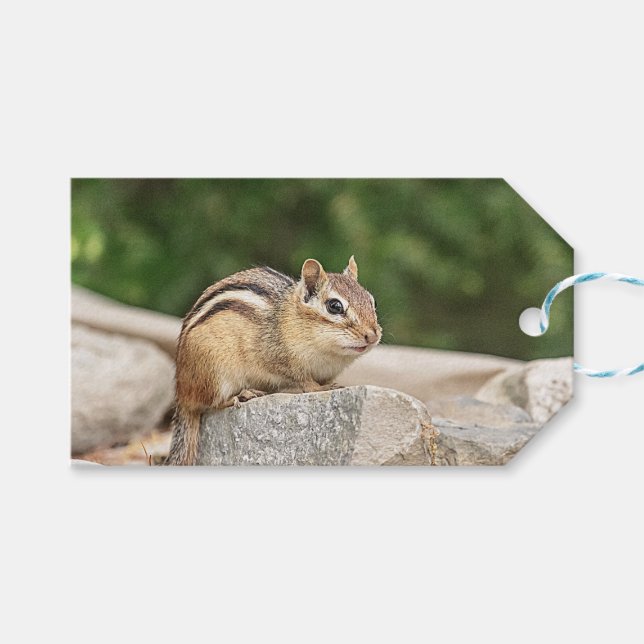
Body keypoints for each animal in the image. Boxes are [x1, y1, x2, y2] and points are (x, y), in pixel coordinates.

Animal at [166, 256, 381, 465]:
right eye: (335, 306)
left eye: (372, 301)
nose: (372, 335)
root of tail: (181, 394)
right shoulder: (278, 358)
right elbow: (304, 381)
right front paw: (320, 388)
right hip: (215, 373)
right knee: (211, 403)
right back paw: (241, 395)